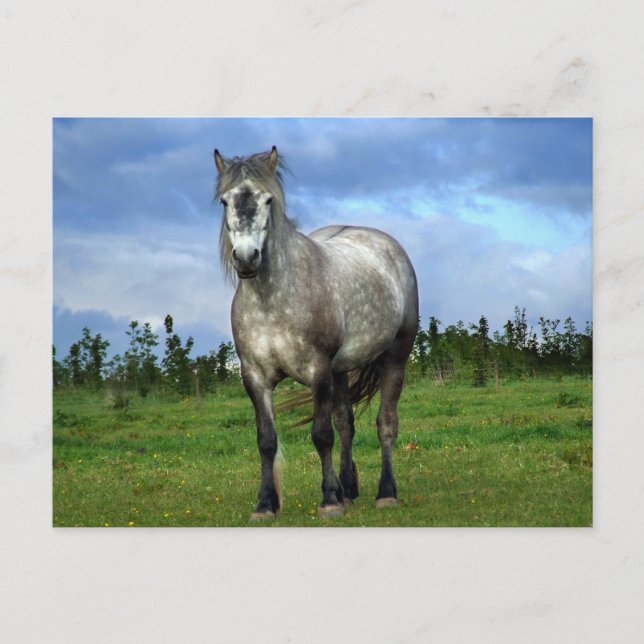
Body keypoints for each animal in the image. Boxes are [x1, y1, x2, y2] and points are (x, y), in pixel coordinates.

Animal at [214, 146, 419, 520]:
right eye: (225, 201)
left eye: (267, 200)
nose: (247, 258)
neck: (272, 301)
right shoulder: (255, 376)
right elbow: (266, 440)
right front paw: (265, 504)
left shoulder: (318, 370)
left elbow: (321, 435)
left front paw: (328, 501)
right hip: (341, 370)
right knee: (346, 423)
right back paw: (348, 490)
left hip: (393, 357)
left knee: (385, 423)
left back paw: (385, 492)